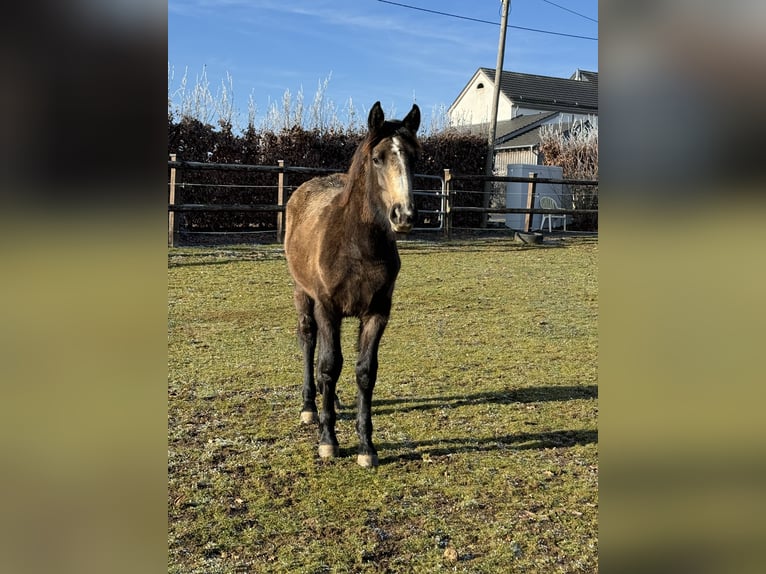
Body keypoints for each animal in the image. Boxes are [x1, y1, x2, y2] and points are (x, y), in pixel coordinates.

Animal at [284, 100, 424, 468]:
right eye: (377, 158)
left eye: (414, 157)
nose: (404, 215)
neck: (358, 245)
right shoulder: (327, 308)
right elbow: (329, 365)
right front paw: (328, 441)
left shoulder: (377, 312)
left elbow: (365, 371)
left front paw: (366, 446)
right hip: (303, 295)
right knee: (309, 341)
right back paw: (310, 406)